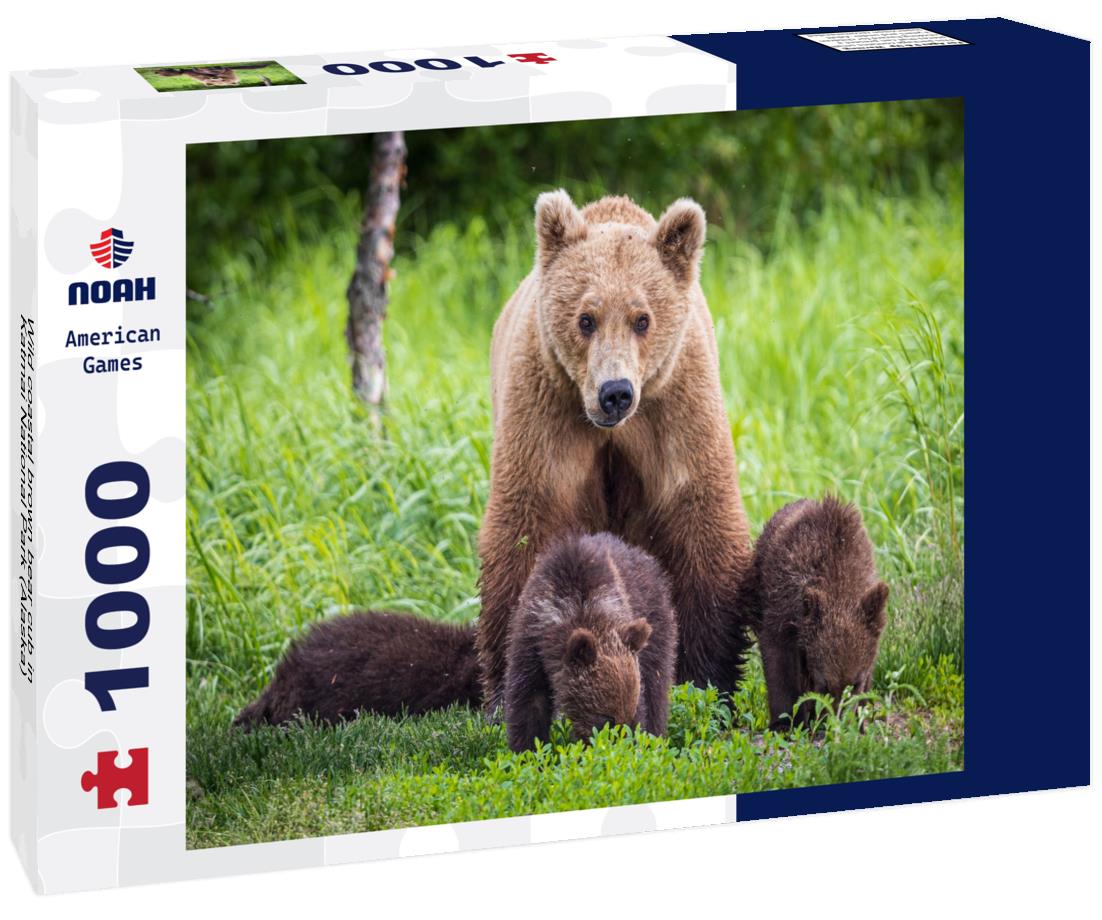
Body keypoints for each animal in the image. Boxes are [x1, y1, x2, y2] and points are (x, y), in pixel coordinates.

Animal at [478, 190, 753, 711]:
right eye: (585, 318)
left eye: (642, 318)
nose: (616, 392)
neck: (612, 430)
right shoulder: (548, 409)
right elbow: (526, 523)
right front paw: (508, 682)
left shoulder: (675, 406)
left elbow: (700, 516)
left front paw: (708, 676)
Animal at [504, 531, 677, 752]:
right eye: (606, 718)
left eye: (629, 715)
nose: (620, 747)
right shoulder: (530, 639)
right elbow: (528, 700)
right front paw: (528, 749)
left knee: (656, 686)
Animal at [742, 496, 890, 730]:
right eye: (825, 685)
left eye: (854, 684)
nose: (837, 724)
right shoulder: (783, 609)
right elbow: (779, 663)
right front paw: (786, 721)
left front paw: (862, 719)